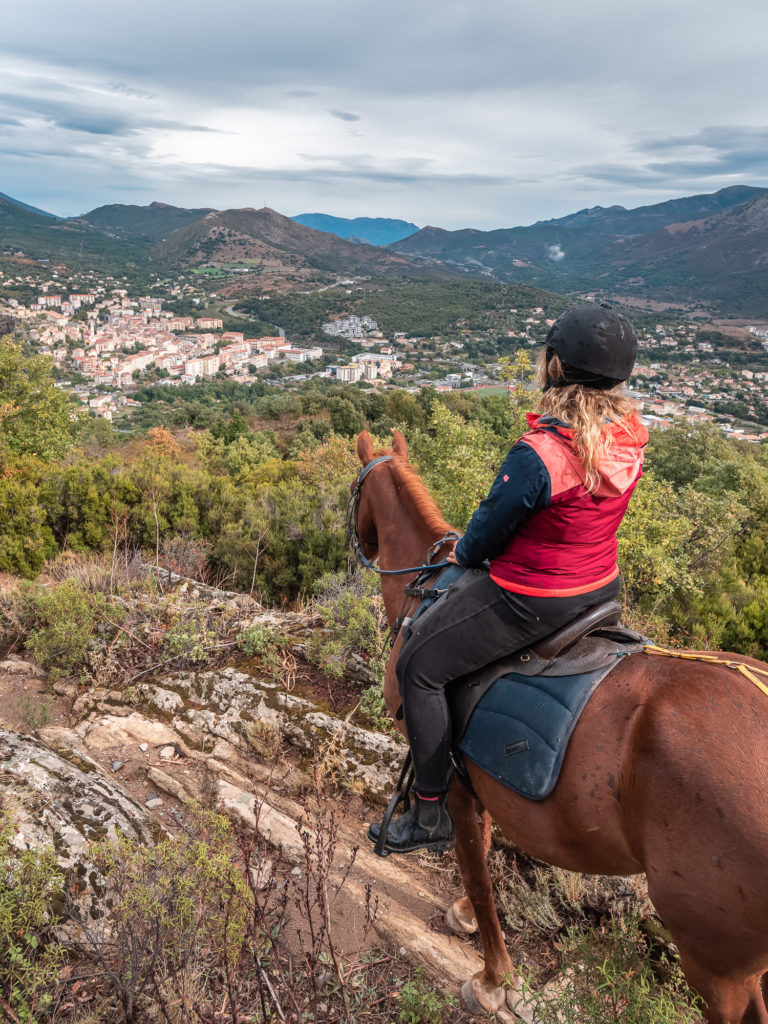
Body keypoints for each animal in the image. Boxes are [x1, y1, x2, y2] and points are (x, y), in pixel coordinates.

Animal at [356, 430, 768, 1024]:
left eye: (355, 489)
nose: (362, 546)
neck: (430, 589)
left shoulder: (451, 778)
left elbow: (476, 868)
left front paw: (493, 978)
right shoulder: (479, 779)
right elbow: (483, 849)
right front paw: (465, 916)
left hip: (718, 963)